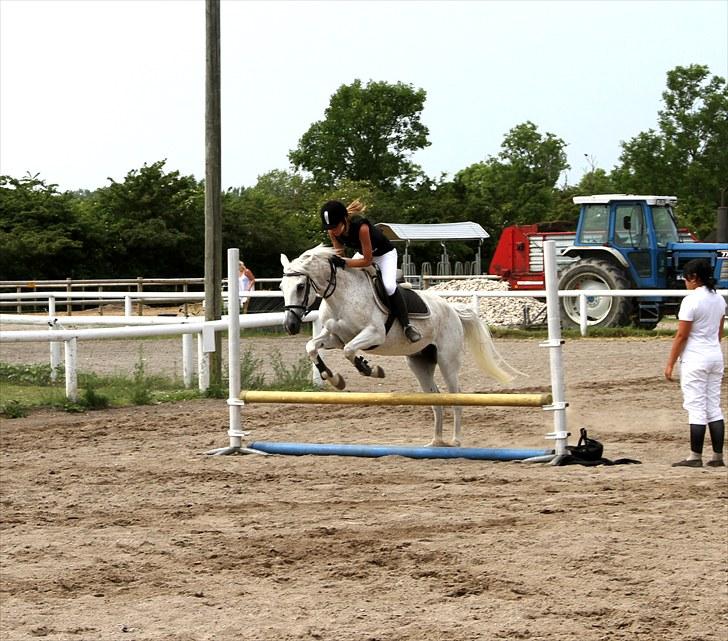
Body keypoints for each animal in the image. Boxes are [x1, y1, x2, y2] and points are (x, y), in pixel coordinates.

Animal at [278, 245, 516, 444]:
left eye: (300, 286)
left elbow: (349, 351)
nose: (290, 326)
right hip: (419, 362)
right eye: (281, 286)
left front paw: (370, 369)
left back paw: (456, 440)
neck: (342, 296)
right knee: (436, 396)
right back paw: (436, 442)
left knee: (455, 394)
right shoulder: (334, 338)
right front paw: (333, 378)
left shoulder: (374, 335)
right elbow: (312, 347)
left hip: (447, 361)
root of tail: (453, 310)